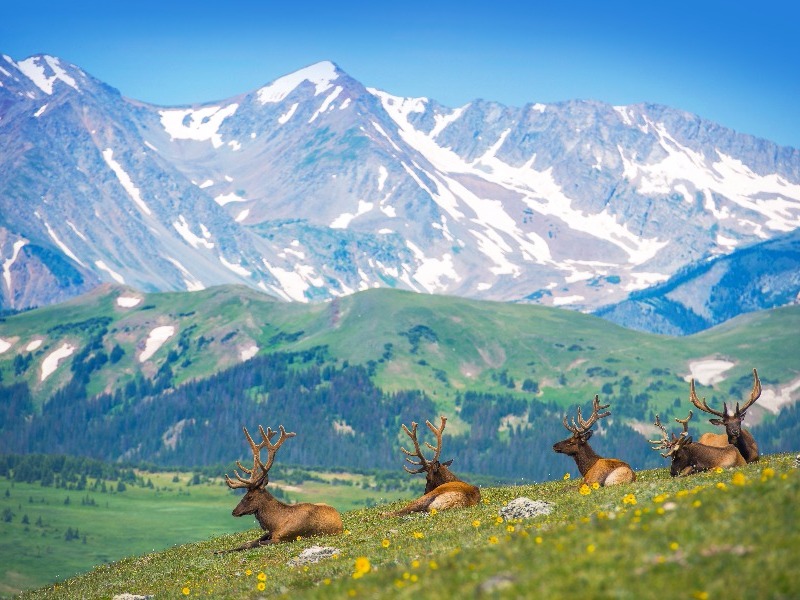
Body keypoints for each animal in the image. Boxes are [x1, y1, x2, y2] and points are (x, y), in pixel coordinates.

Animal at [212, 424, 340, 556]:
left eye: (249, 496)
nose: (234, 511)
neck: (276, 523)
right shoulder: (269, 533)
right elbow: (248, 543)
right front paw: (218, 551)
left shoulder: (282, 538)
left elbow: (253, 544)